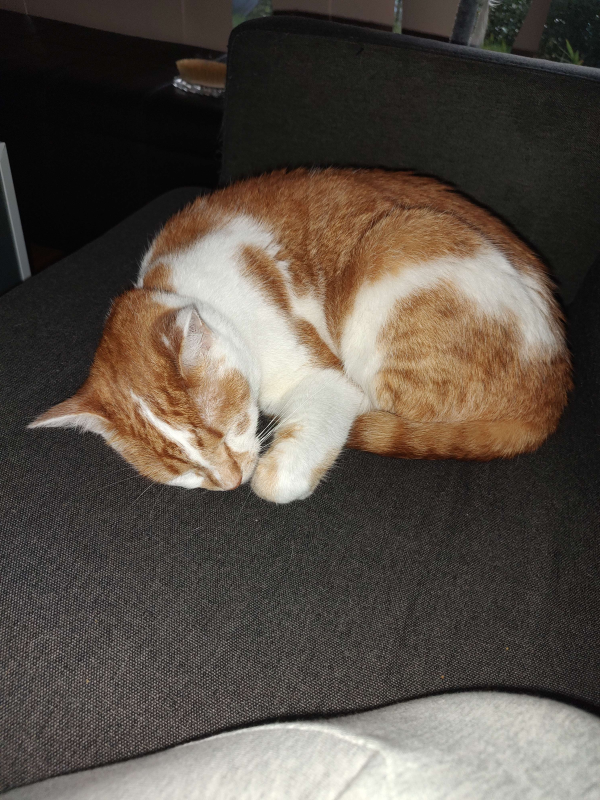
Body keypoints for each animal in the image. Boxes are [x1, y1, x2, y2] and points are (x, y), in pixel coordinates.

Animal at [29, 172, 572, 504]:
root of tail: (557, 383)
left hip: (395, 243)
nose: (229, 482)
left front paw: (271, 474)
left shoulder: (327, 381)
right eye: (182, 470)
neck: (184, 286)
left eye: (224, 429)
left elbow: (277, 478)